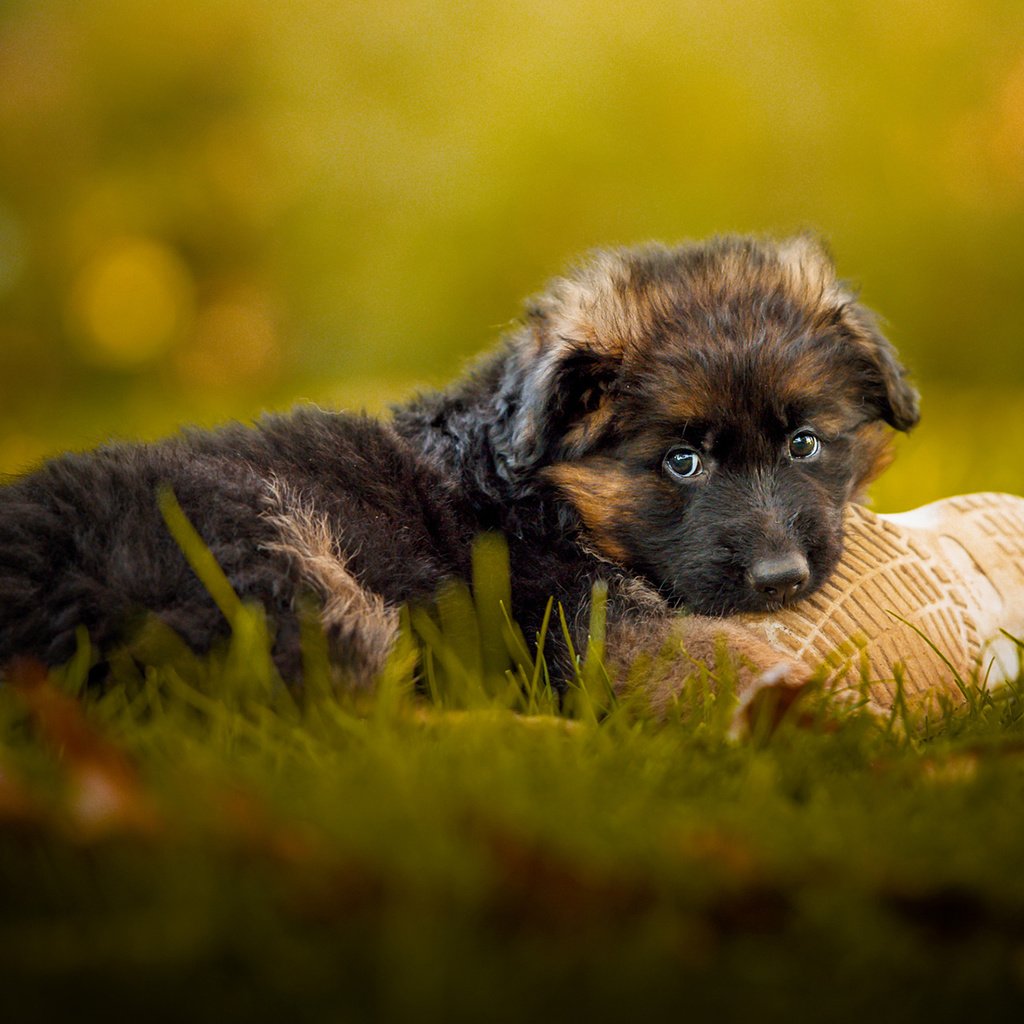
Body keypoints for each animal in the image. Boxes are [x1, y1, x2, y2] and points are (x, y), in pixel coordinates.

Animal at [0, 235, 913, 708]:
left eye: (805, 445)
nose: (782, 579)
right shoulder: (587, 626)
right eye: (681, 463)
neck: (530, 491)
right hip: (261, 552)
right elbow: (716, 662)